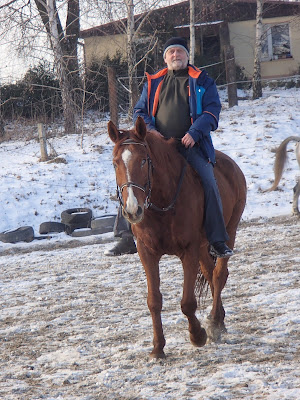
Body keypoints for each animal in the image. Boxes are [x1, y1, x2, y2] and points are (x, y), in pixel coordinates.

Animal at [108, 117, 246, 358]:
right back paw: (218, 319)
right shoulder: (147, 252)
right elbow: (154, 301)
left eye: (143, 161)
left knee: (219, 275)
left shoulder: (188, 250)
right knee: (210, 274)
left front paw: (197, 335)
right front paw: (158, 347)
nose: (133, 209)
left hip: (229, 232)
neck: (162, 203)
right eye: (116, 163)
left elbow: (187, 302)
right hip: (202, 247)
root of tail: (232, 166)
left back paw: (214, 323)